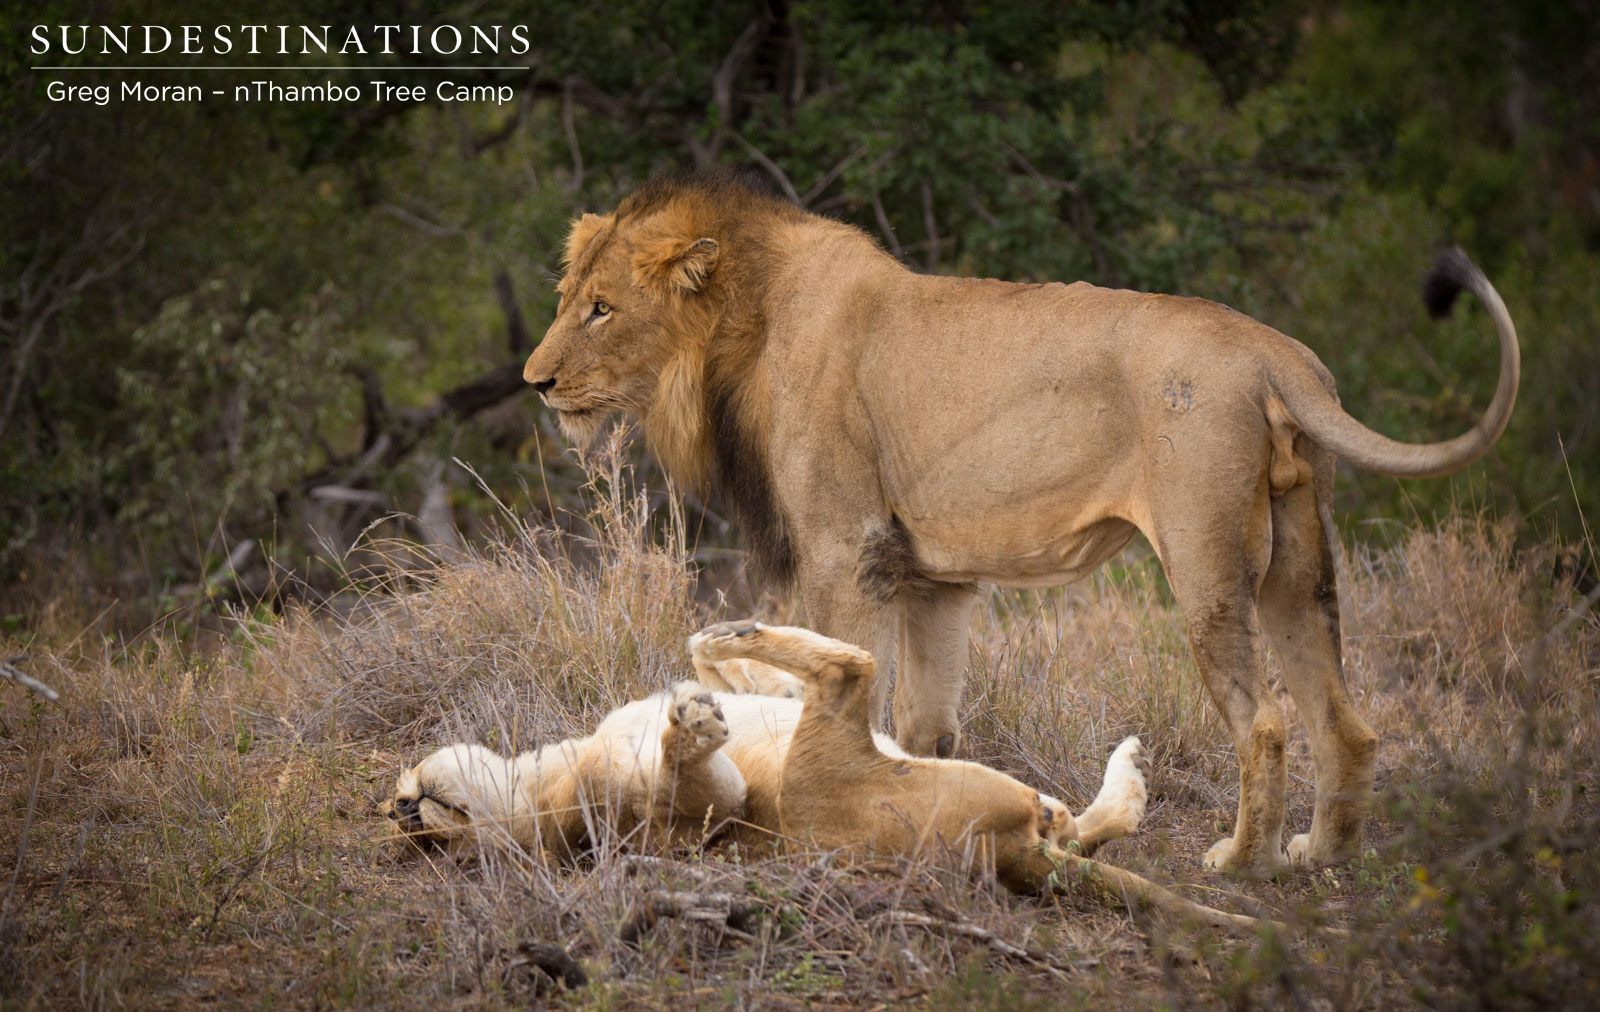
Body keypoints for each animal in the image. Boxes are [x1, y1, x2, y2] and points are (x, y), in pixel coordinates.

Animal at [384, 620, 1278, 931]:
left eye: (430, 810)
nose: (401, 811)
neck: (542, 777)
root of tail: (1010, 851)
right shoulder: (687, 816)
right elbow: (704, 779)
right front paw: (692, 722)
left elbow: (715, 670)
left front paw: (703, 683)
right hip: (840, 738)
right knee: (853, 663)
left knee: (1088, 825)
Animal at [521, 170, 1519, 874]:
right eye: (569, 297)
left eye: (601, 308)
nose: (536, 380)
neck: (741, 325)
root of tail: (1276, 353)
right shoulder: (934, 578)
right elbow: (925, 724)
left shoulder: (844, 549)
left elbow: (829, 664)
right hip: (1297, 564)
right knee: (1344, 718)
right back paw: (1322, 857)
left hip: (1205, 560)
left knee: (1266, 723)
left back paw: (1245, 863)